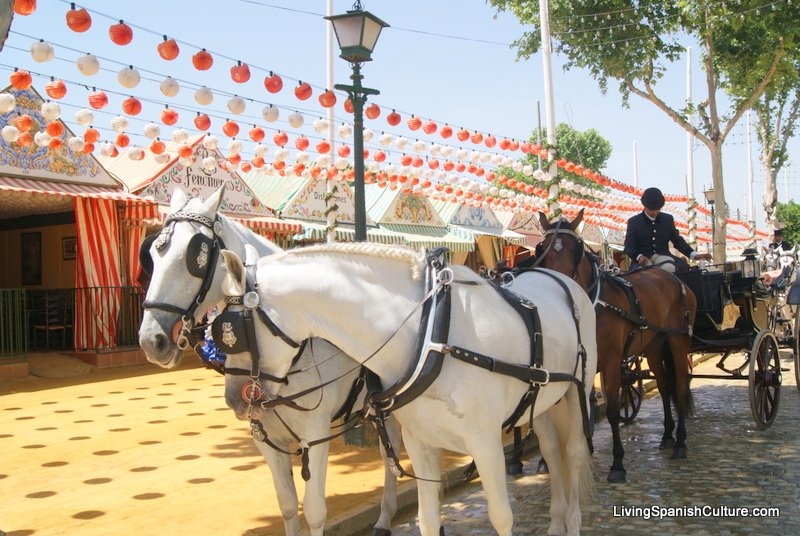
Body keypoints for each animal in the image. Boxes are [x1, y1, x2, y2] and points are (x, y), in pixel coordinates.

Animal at [139, 187, 400, 536]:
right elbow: (288, 504)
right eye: (152, 255)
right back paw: (385, 517)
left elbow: (314, 510)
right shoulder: (265, 437)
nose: (151, 340)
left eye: (195, 256)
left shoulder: (316, 435)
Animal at [217, 244, 592, 536]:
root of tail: (558, 277)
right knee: (551, 449)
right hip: (541, 402)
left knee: (573, 453)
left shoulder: (485, 444)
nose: (234, 398)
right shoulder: (420, 442)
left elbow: (501, 517)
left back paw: (572, 521)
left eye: (230, 330)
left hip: (577, 393)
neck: (433, 335)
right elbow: (427, 520)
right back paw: (556, 522)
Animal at [536, 208, 696, 482]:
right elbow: (581, 410)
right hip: (653, 345)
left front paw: (618, 464)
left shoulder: (611, 362)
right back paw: (667, 435)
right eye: (542, 248)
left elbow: (611, 410)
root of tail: (673, 278)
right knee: (664, 386)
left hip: (678, 341)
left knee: (681, 385)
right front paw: (577, 452)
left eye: (575, 248)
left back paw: (680, 442)